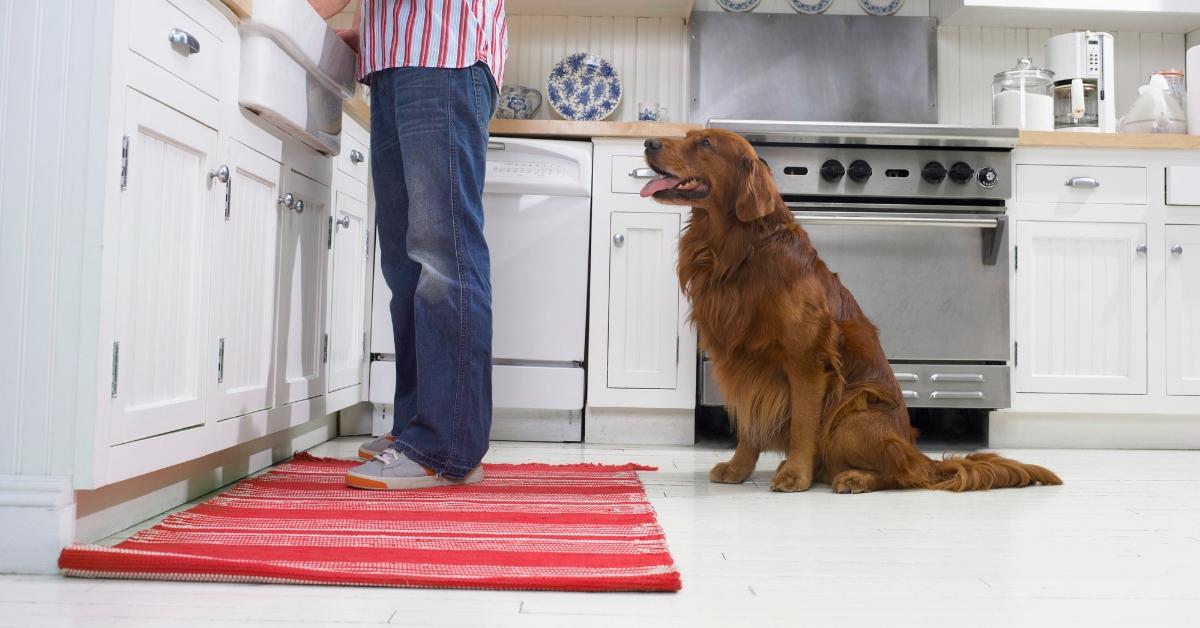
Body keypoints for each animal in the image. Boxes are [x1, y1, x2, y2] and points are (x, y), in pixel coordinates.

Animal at [643, 130, 1065, 494]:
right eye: (688, 135)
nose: (648, 142)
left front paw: (795, 475)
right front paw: (738, 469)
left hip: (852, 413)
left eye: (705, 143)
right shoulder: (744, 362)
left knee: (902, 473)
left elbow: (803, 425)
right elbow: (750, 424)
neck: (739, 250)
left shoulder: (807, 360)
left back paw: (854, 478)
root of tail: (918, 452)